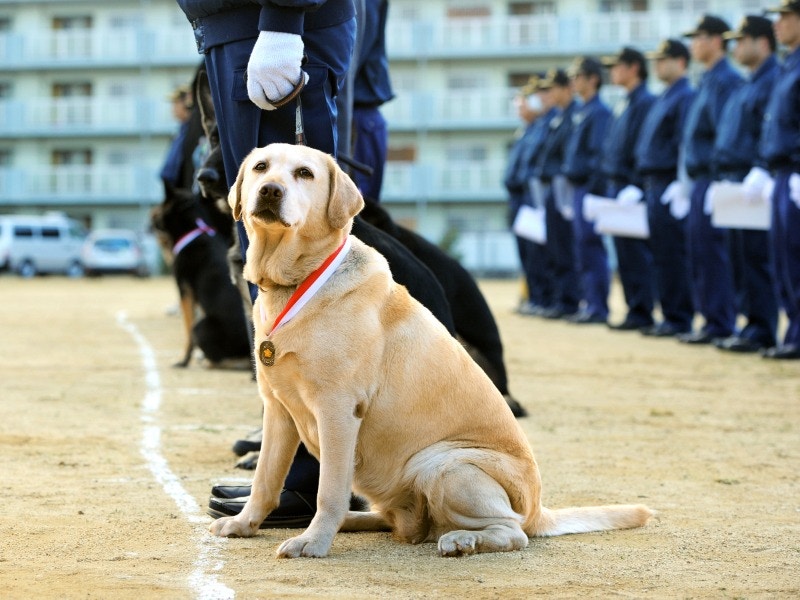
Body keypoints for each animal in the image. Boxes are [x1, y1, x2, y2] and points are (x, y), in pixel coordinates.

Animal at [209, 143, 652, 556]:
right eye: (261, 167)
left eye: (304, 173)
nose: (270, 190)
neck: (298, 281)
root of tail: (538, 509)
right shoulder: (278, 408)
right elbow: (265, 479)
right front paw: (245, 523)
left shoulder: (338, 410)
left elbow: (327, 490)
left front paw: (313, 542)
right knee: (399, 522)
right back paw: (358, 521)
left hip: (442, 464)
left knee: (511, 531)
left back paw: (461, 539)